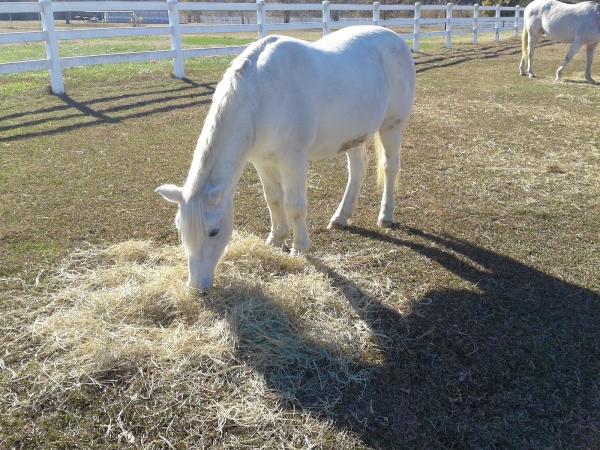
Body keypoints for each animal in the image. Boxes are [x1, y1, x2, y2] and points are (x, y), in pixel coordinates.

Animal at [157, 25, 414, 292]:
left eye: (214, 232)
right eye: (180, 228)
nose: (197, 286)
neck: (260, 95)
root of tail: (394, 38)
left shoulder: (293, 160)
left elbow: (295, 206)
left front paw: (299, 248)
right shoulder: (262, 161)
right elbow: (273, 200)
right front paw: (276, 239)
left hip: (392, 126)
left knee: (390, 167)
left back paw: (385, 216)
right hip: (354, 134)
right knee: (357, 170)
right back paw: (341, 217)